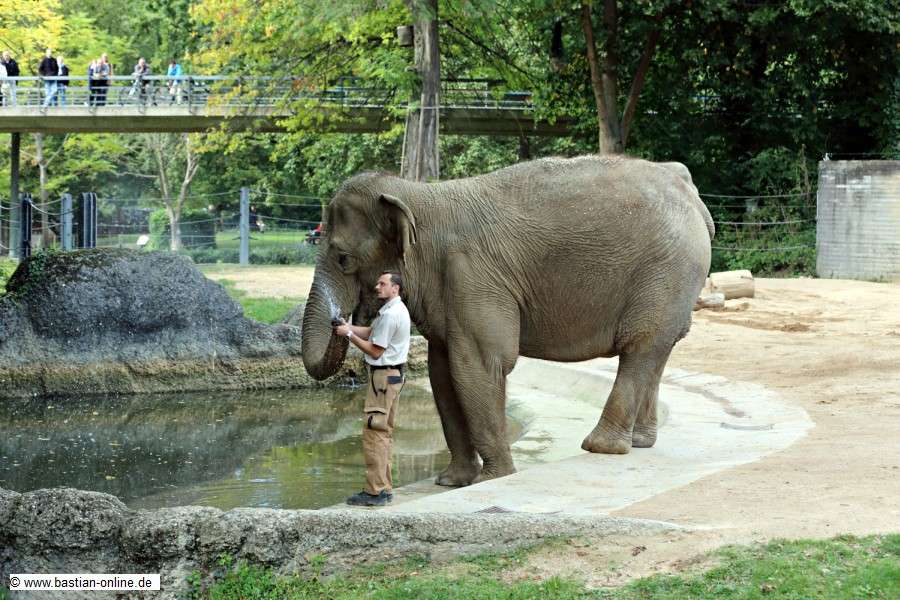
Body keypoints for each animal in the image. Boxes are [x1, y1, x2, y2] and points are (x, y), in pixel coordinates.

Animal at [302, 155, 714, 486]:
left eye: (342, 258)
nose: (342, 320)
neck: (421, 197)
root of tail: (690, 191)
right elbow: (441, 372)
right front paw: (452, 482)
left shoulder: (472, 275)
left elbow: (479, 365)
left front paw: (494, 478)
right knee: (656, 351)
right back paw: (640, 442)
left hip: (666, 272)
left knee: (641, 346)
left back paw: (602, 447)